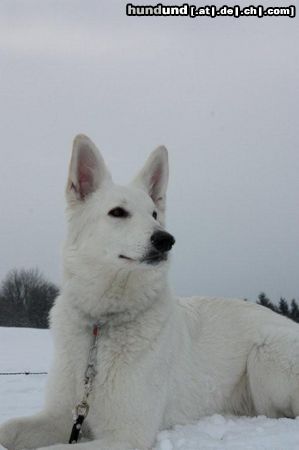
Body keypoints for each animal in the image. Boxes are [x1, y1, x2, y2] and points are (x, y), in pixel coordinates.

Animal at [0, 134, 299, 450]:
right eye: (118, 212)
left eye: (154, 214)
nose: (166, 239)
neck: (101, 325)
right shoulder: (62, 416)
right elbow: (9, 428)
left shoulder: (128, 435)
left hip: (265, 354)